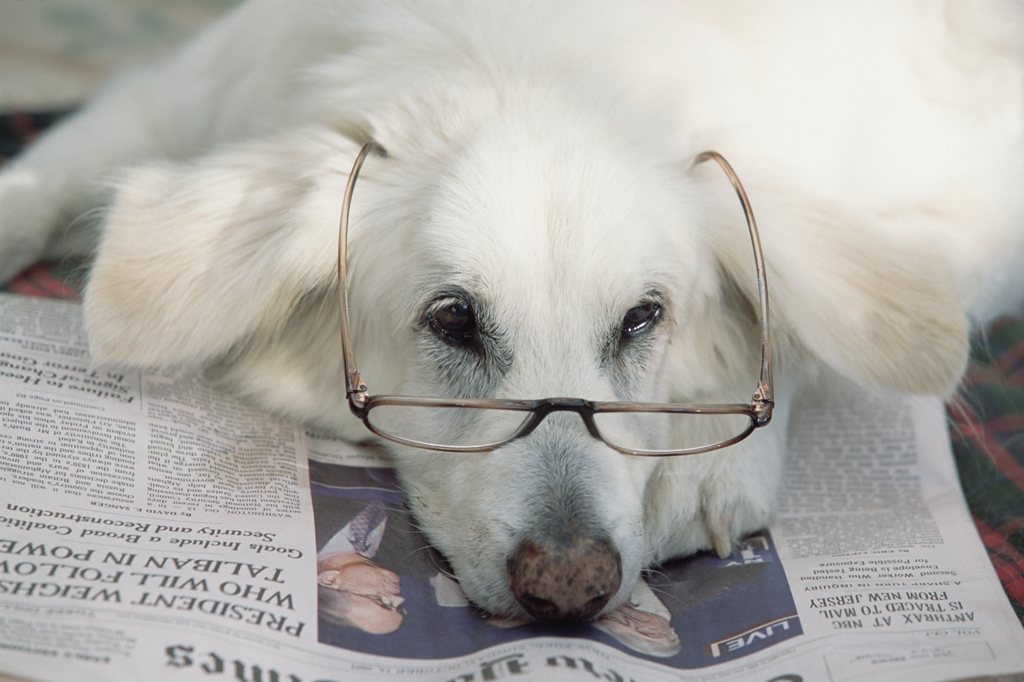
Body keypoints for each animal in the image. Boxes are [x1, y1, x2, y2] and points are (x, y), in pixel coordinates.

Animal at [2, 0, 1024, 614]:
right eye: (454, 319)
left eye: (644, 318)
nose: (570, 591)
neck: (536, 51)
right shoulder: (172, 93)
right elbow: (45, 175)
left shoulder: (974, 205)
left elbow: (809, 322)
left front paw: (707, 457)